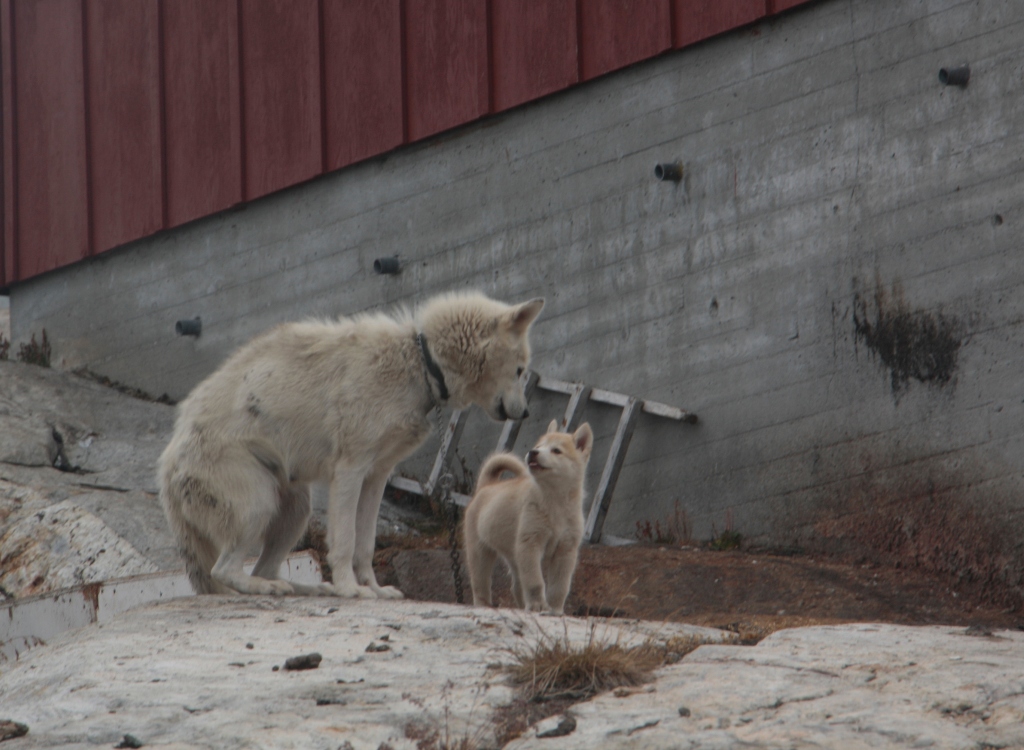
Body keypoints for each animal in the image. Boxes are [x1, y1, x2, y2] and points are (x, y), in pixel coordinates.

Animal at [159, 293, 544, 598]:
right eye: (520, 369)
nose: (526, 412)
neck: (420, 363)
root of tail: (166, 464)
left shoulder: (376, 477)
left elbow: (365, 544)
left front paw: (373, 589)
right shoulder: (350, 470)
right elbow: (344, 541)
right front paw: (350, 589)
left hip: (296, 511)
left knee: (260, 569)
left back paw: (305, 588)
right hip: (259, 505)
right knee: (225, 571)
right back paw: (275, 589)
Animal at [464, 418, 593, 610]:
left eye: (556, 450)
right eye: (538, 446)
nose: (533, 452)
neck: (555, 503)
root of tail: (486, 486)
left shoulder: (566, 550)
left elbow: (559, 586)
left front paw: (555, 609)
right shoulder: (530, 545)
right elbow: (535, 582)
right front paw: (538, 605)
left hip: (515, 557)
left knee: (516, 587)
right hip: (480, 553)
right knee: (480, 585)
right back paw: (483, 605)